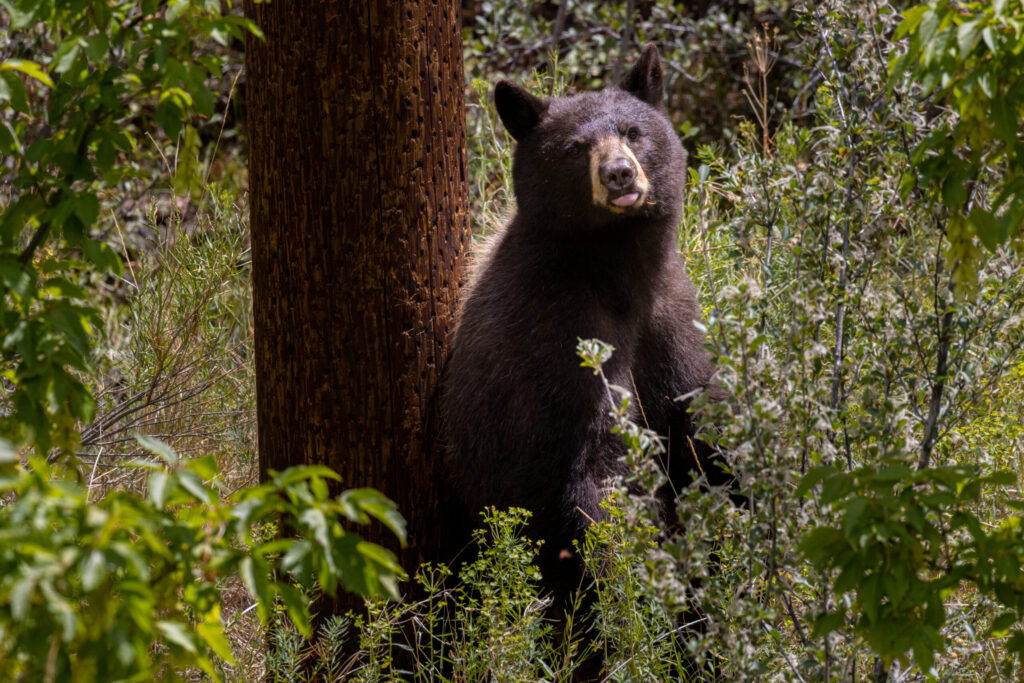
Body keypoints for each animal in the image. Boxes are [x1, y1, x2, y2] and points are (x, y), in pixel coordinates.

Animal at [441, 44, 732, 635]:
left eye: (633, 131)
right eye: (575, 147)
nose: (619, 174)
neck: (615, 268)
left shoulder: (670, 314)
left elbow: (697, 415)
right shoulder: (557, 335)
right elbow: (585, 473)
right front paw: (630, 599)